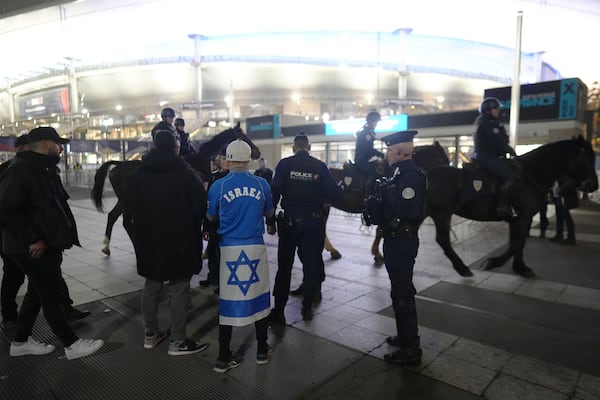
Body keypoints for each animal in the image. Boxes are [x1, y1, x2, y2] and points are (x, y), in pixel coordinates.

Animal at [91, 123, 260, 255]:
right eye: (243, 137)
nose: (257, 153)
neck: (198, 161)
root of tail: (119, 164)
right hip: (128, 202)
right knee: (126, 222)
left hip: (123, 200)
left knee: (112, 216)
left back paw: (106, 246)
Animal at [428, 135, 596, 278]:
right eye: (588, 159)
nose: (594, 185)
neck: (531, 175)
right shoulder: (523, 217)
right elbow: (517, 243)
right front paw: (494, 262)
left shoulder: (520, 218)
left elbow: (519, 242)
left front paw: (520, 267)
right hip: (442, 213)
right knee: (443, 239)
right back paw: (462, 268)